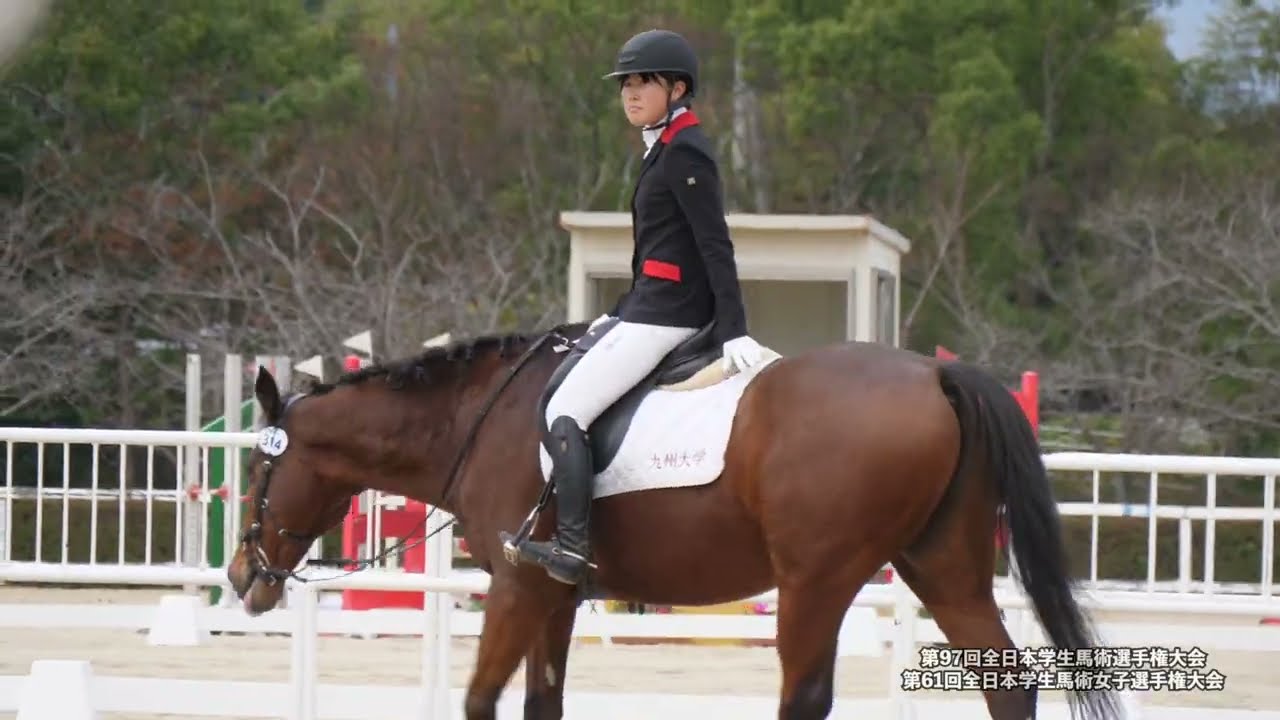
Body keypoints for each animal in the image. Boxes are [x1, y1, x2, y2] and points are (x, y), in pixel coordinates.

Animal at [225, 320, 1124, 720]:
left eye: (259, 470)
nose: (241, 577)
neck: (478, 418)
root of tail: (936, 377)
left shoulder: (517, 586)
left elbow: (479, 701)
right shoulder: (555, 597)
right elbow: (541, 704)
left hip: (817, 579)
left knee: (805, 697)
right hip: (942, 566)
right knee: (1008, 682)